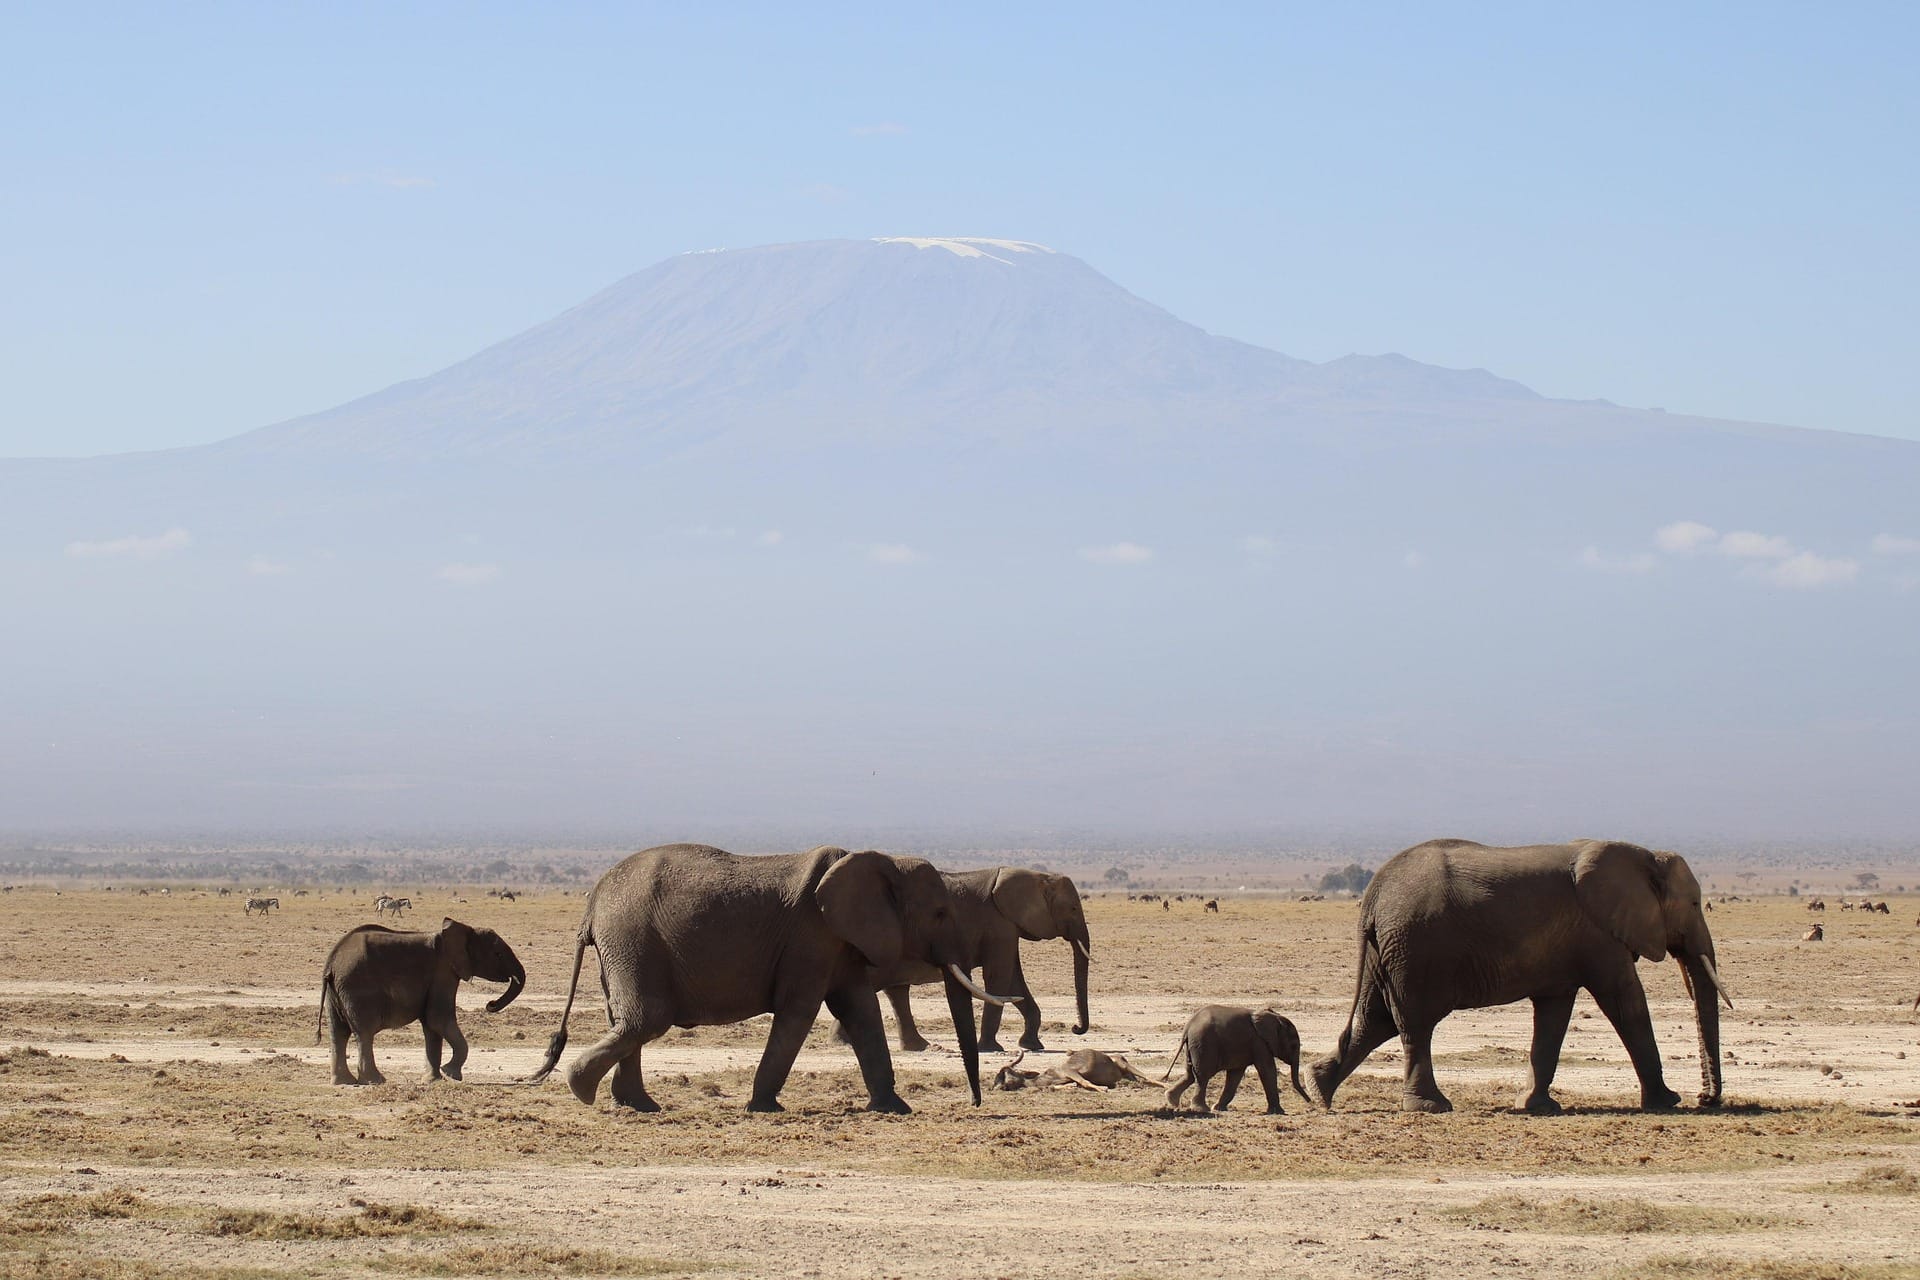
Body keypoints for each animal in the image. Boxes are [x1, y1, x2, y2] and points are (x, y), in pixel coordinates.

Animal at [318, 918, 526, 1085]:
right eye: (497, 954)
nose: (490, 1004)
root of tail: (331, 963)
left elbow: (431, 1026)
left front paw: (433, 1080)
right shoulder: (443, 973)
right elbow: (438, 1019)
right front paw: (450, 1073)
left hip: (336, 992)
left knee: (338, 1033)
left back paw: (343, 1082)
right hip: (357, 988)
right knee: (364, 1033)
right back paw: (375, 1081)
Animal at [526, 844, 1012, 1114]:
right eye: (940, 913)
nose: (975, 1103)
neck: (885, 860)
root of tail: (592, 901)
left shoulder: (838, 942)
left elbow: (861, 1011)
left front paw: (895, 1110)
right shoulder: (812, 937)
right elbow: (800, 1011)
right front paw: (763, 1108)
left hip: (623, 948)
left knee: (629, 1021)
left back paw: (638, 1106)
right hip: (632, 941)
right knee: (647, 1019)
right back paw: (583, 1090)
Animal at [846, 867, 1092, 1054]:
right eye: (1073, 908)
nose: (1075, 1028)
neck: (1038, 876)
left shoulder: (1007, 927)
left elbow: (1014, 981)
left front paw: (1031, 1045)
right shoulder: (998, 925)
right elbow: (999, 977)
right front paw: (991, 1048)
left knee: (896, 991)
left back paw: (916, 1047)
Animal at [1162, 1005, 1309, 1114]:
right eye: (1293, 1045)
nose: (1310, 1103)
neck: (1275, 1017)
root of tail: (1188, 1027)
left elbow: (1235, 1075)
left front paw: (1219, 1108)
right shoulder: (1259, 1043)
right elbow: (1267, 1070)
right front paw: (1279, 1112)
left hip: (1194, 1046)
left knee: (1190, 1075)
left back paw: (1172, 1100)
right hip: (1204, 1044)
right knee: (1202, 1076)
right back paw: (1201, 1109)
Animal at [1308, 838, 1731, 1116]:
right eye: (1695, 903)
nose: (1706, 1099)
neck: (1644, 855)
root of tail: (1372, 895)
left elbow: (1553, 1015)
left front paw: (1536, 1106)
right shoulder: (1599, 935)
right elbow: (1626, 1002)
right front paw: (1668, 1102)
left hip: (1389, 950)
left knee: (1375, 1021)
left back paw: (1318, 1090)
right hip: (1415, 949)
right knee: (1414, 1023)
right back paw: (1430, 1107)